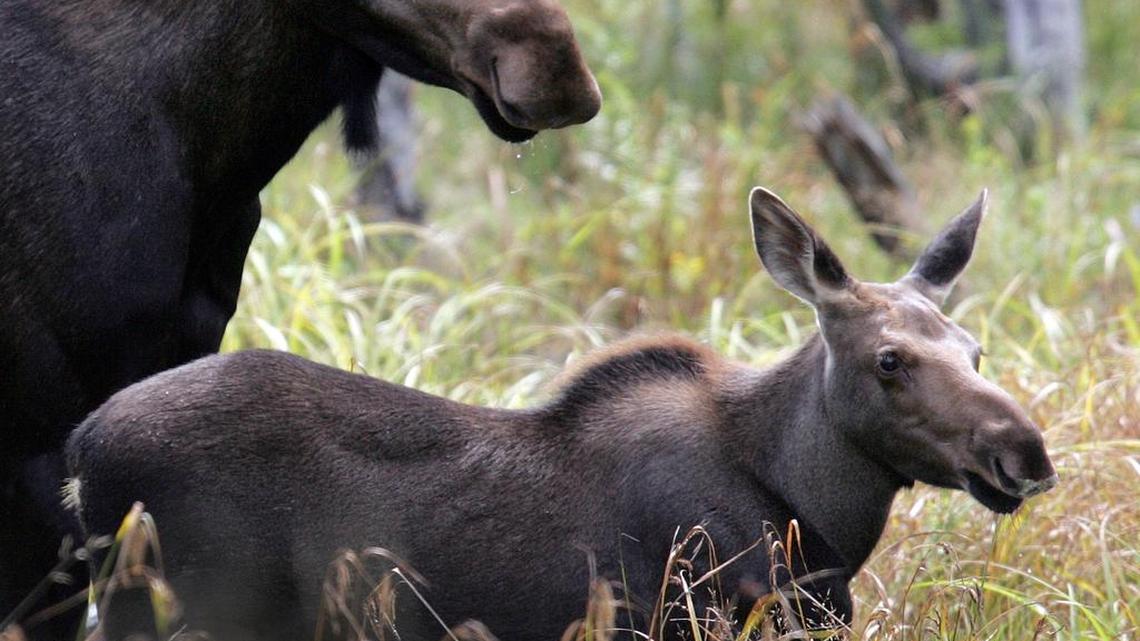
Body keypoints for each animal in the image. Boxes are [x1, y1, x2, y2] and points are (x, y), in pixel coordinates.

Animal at [67, 187, 1058, 641]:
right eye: (890, 359)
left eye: (974, 349)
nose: (1025, 455)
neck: (814, 513)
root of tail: (80, 448)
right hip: (175, 605)